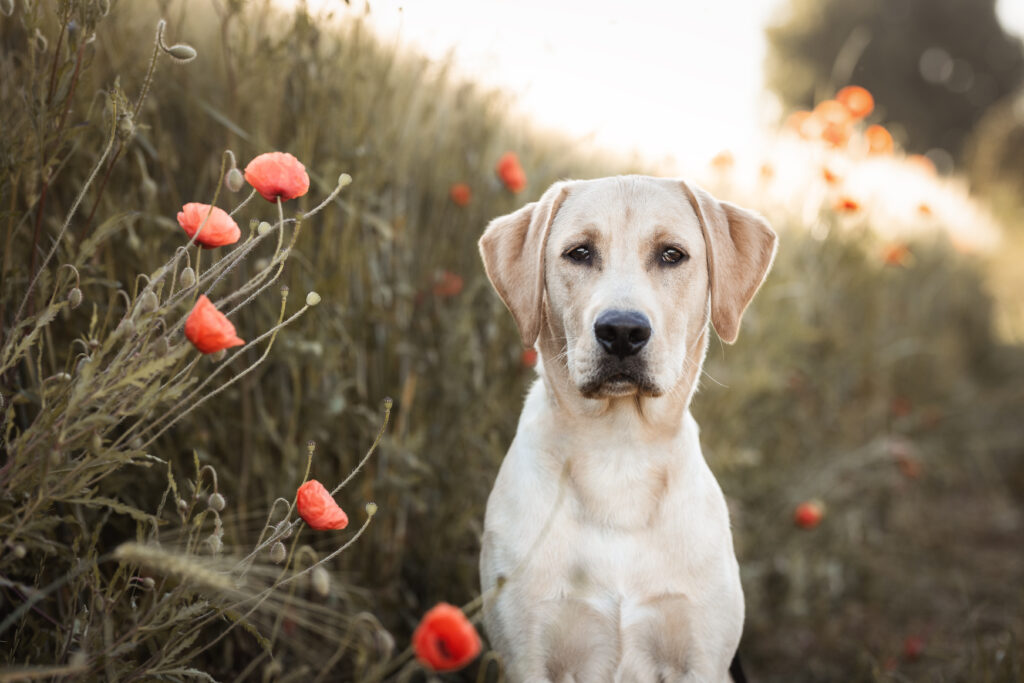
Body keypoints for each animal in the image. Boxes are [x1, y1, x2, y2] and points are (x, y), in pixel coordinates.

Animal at [479, 176, 774, 683]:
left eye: (672, 255)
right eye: (579, 252)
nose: (621, 330)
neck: (618, 457)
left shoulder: (702, 657)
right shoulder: (526, 656)